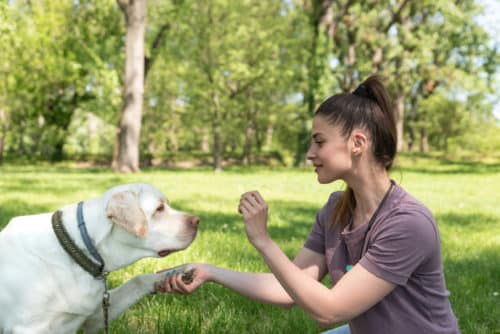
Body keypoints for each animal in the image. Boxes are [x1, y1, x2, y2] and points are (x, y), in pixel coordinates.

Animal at [0, 184, 199, 332]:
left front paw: (180, 272)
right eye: (159, 209)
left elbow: (138, 280)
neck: (78, 249)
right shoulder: (29, 327)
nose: (197, 221)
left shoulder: (94, 317)